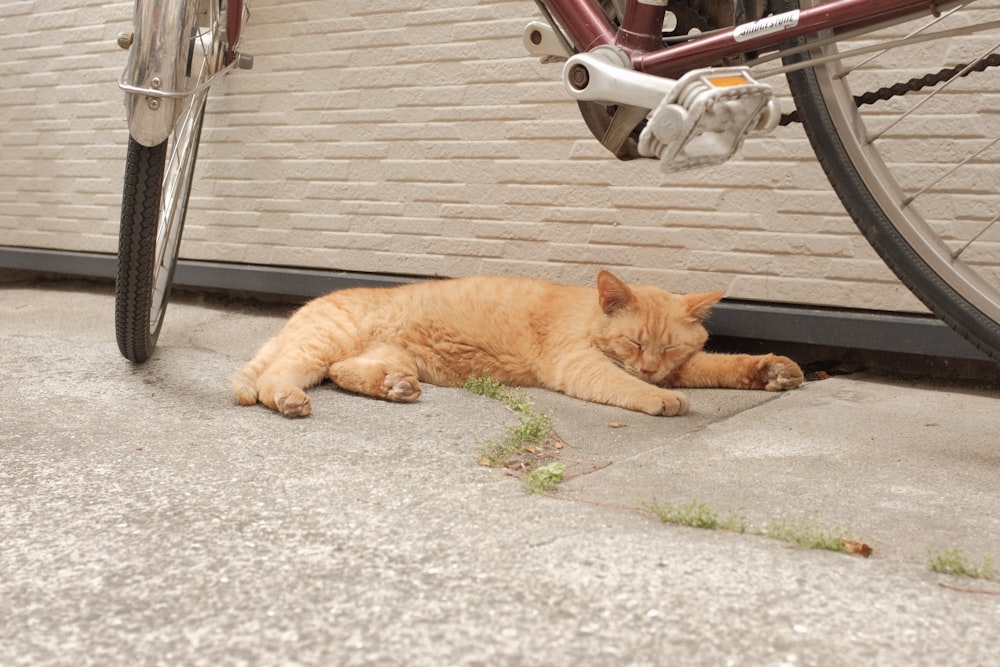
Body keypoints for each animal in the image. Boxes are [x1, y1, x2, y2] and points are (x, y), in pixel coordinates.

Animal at [232, 270, 804, 418]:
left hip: (384, 353)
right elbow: (623, 385)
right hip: (320, 343)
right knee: (274, 377)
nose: (649, 368)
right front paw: (659, 397)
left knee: (347, 372)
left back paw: (395, 386)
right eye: (633, 341)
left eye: (665, 349)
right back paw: (288, 399)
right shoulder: (578, 364)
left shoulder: (686, 365)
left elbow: (722, 365)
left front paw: (772, 370)